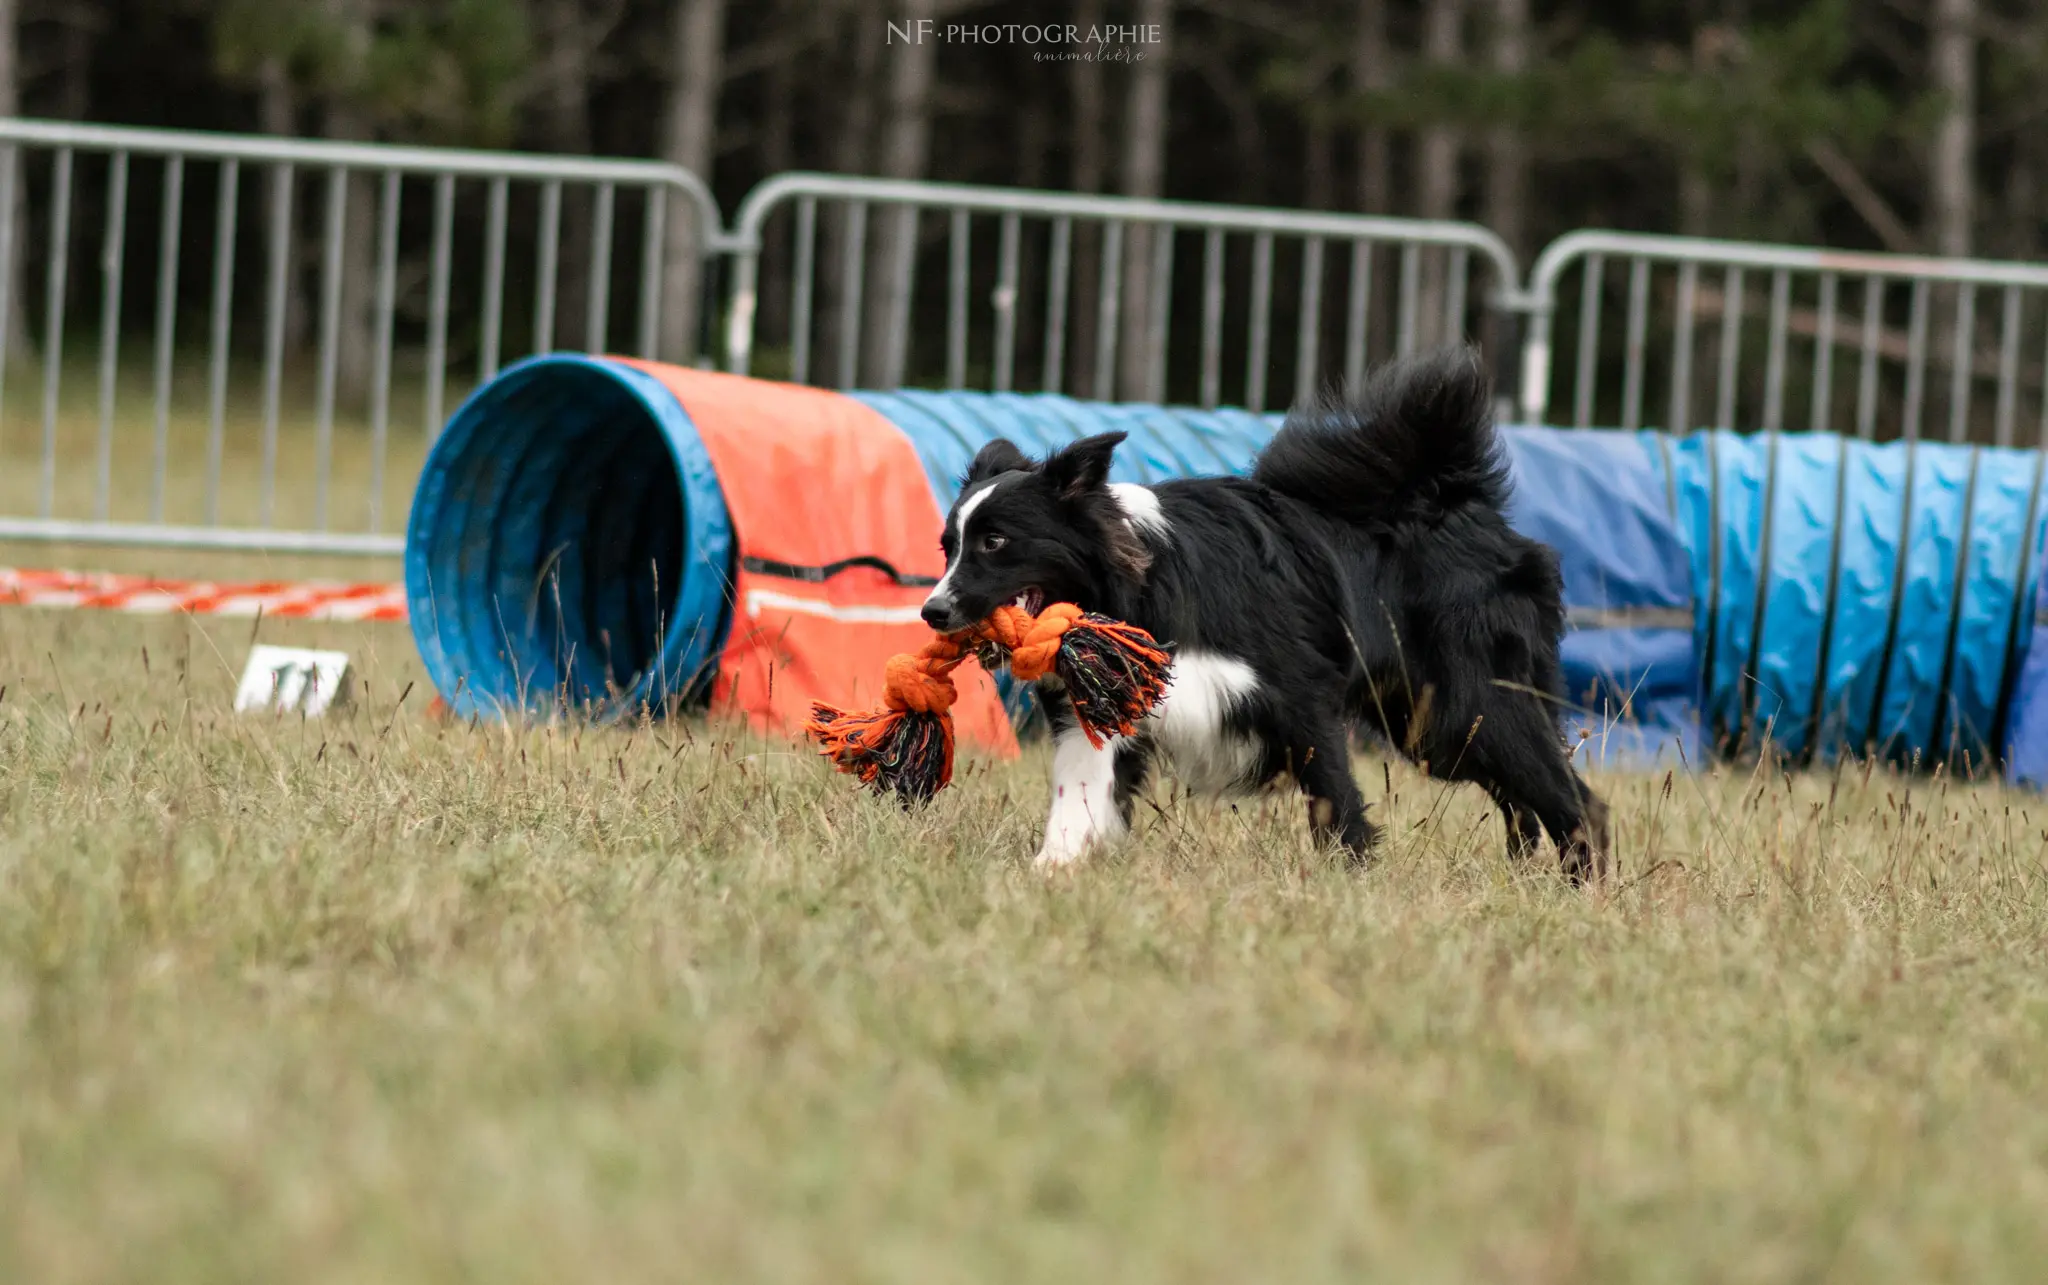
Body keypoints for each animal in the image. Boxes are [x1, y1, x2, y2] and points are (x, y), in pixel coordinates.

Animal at [921, 346, 1605, 881]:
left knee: (1574, 802)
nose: (933, 611)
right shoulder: (1100, 708)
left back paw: (1583, 890)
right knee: (1525, 802)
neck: (1143, 585)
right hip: (1433, 726)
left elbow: (1334, 798)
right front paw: (1050, 870)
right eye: (947, 546)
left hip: (1467, 702)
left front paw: (1347, 881)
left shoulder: (1298, 694)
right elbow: (1078, 791)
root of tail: (1463, 501)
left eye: (996, 542)